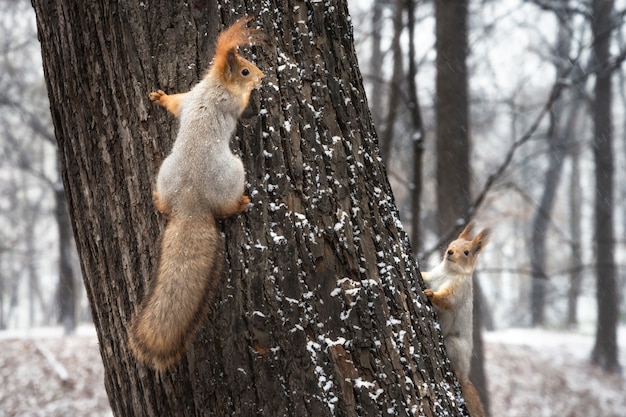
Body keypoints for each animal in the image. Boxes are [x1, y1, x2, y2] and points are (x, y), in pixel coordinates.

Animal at [129, 16, 266, 368]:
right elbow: (241, 104)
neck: (215, 84)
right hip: (234, 173)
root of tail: (190, 204)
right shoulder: (229, 102)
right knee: (227, 207)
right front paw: (253, 94)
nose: (262, 77)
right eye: (244, 70)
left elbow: (175, 102)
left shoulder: (188, 97)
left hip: (164, 174)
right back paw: (241, 203)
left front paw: (160, 97)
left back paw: (158, 201)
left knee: (163, 202)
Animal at [422, 224, 490, 416]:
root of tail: (466, 375)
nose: (450, 251)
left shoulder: (458, 291)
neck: (448, 271)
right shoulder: (433, 275)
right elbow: (425, 276)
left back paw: (458, 373)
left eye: (466, 252)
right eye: (452, 243)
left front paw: (431, 294)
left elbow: (446, 300)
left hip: (453, 344)